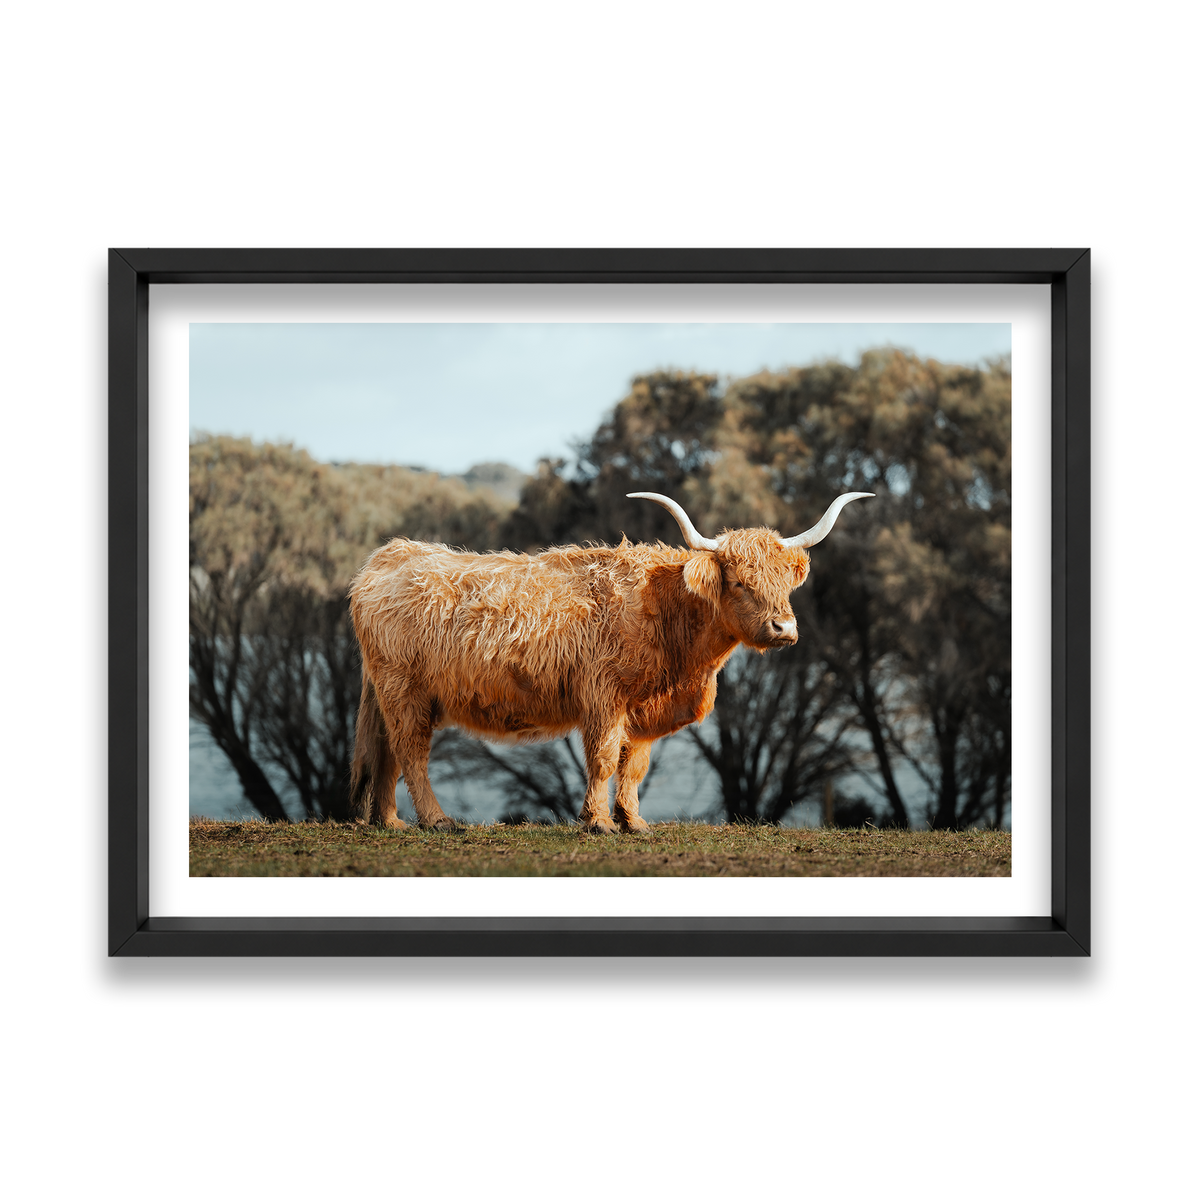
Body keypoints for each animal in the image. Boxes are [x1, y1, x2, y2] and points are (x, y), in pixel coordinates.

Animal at [347, 491, 872, 833]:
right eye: (741, 582)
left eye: (785, 582)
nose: (784, 628)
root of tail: (390, 554)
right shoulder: (604, 696)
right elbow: (601, 759)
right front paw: (598, 822)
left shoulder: (643, 709)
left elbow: (633, 765)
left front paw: (634, 821)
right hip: (405, 690)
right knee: (411, 752)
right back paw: (437, 821)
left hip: (393, 694)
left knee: (387, 752)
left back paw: (390, 822)